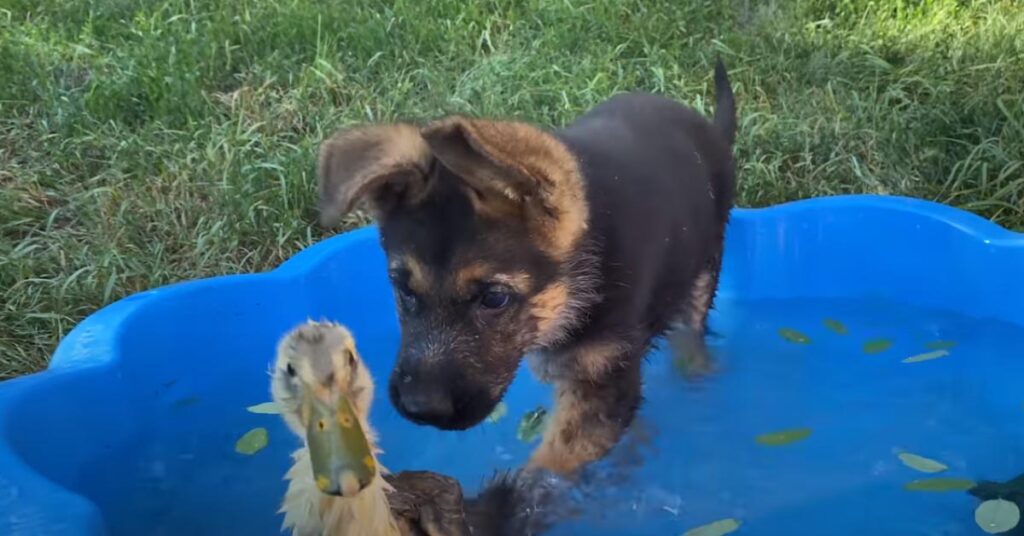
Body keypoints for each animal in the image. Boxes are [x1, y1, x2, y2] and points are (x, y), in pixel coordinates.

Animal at [319, 60, 737, 475]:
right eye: (402, 287)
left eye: (494, 298)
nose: (421, 409)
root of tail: (707, 129)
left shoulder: (604, 382)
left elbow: (550, 468)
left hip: (702, 273)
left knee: (691, 337)